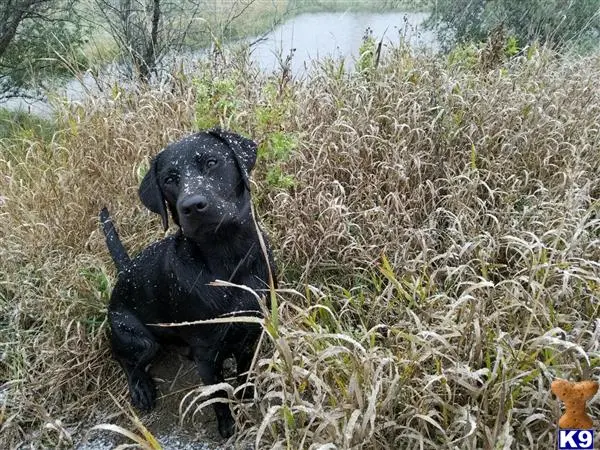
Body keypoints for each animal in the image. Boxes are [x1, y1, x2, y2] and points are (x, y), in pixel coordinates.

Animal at [99, 128, 276, 438]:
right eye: (169, 179)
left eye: (211, 162)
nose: (192, 206)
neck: (229, 262)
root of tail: (125, 272)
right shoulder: (207, 356)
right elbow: (218, 397)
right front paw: (227, 427)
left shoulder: (252, 333)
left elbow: (244, 377)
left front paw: (247, 403)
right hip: (142, 341)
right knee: (121, 356)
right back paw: (141, 388)